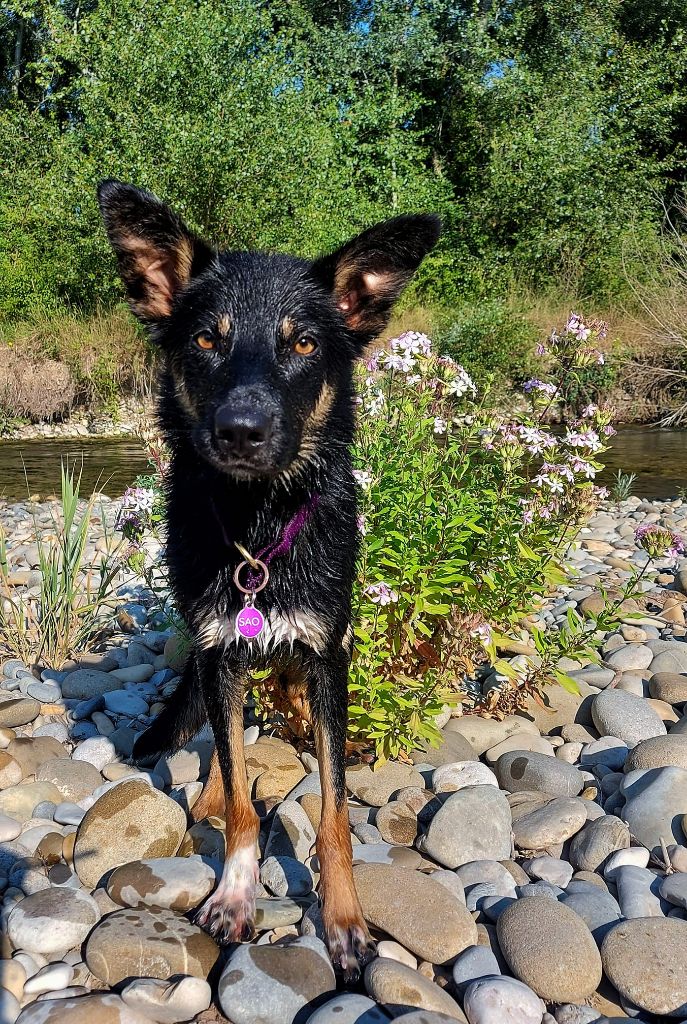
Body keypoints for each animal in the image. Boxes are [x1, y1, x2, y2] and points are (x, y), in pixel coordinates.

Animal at [96, 180, 440, 978]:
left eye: (304, 343)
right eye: (205, 340)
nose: (241, 432)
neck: (256, 530)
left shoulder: (325, 654)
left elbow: (335, 812)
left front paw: (343, 919)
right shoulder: (220, 651)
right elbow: (241, 799)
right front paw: (235, 889)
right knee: (226, 754)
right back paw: (212, 793)